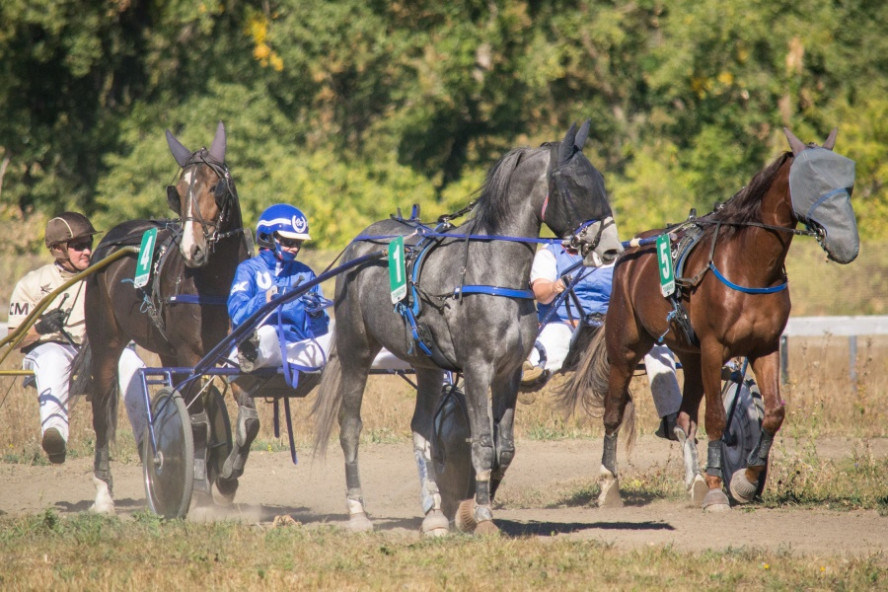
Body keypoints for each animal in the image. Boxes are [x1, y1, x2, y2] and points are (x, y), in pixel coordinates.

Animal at [74, 121, 251, 512]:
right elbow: (197, 423)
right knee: (101, 410)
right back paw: (103, 493)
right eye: (179, 191)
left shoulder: (238, 351)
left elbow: (248, 419)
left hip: (166, 349)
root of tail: (111, 240)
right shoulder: (190, 354)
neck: (214, 282)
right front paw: (195, 488)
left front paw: (227, 477)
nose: (191, 249)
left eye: (215, 187)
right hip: (107, 341)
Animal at [316, 121, 620, 536]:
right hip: (355, 355)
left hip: (426, 366)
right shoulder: (477, 369)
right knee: (350, 428)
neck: (489, 271)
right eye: (577, 184)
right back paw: (358, 513)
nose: (612, 249)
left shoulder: (508, 373)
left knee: (421, 430)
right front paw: (483, 516)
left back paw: (432, 515)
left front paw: (466, 509)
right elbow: (482, 444)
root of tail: (360, 245)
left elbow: (504, 447)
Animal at [560, 127, 860, 512]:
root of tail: (631, 249)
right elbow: (716, 418)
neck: (749, 266)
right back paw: (610, 485)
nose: (846, 243)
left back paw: (696, 482)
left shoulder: (764, 348)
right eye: (812, 179)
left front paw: (744, 480)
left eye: (846, 179)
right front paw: (719, 487)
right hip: (625, 346)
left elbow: (774, 413)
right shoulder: (715, 347)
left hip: (689, 354)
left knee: (684, 420)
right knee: (613, 411)